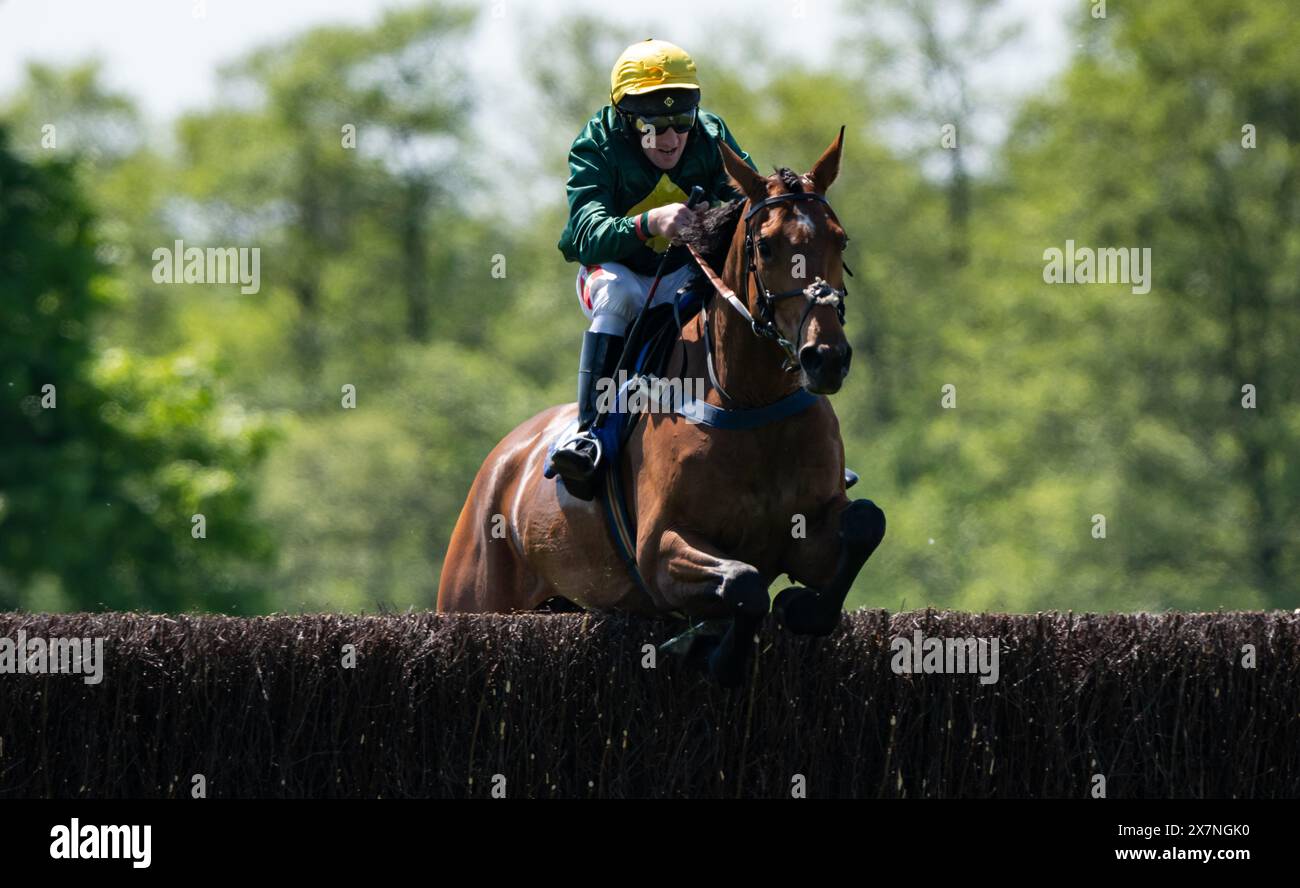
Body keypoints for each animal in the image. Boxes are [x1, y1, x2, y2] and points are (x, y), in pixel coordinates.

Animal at [436, 130, 883, 686]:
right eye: (766, 246)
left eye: (840, 240)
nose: (826, 358)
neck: (750, 403)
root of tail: (501, 461)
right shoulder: (659, 552)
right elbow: (744, 583)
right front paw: (715, 654)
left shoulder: (810, 528)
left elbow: (865, 523)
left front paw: (800, 607)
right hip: (473, 597)